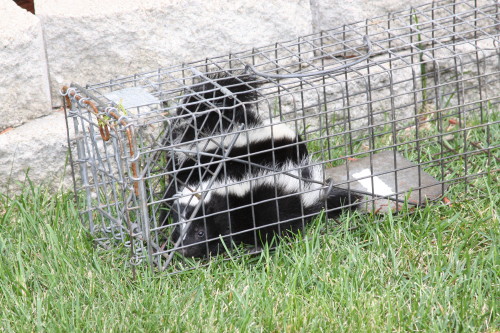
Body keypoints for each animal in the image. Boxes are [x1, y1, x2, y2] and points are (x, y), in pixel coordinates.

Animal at [172, 158, 360, 256]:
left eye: (200, 232)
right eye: (178, 230)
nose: (183, 250)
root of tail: (306, 193)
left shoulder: (231, 213)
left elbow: (227, 233)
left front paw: (216, 250)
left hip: (275, 209)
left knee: (278, 230)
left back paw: (259, 248)